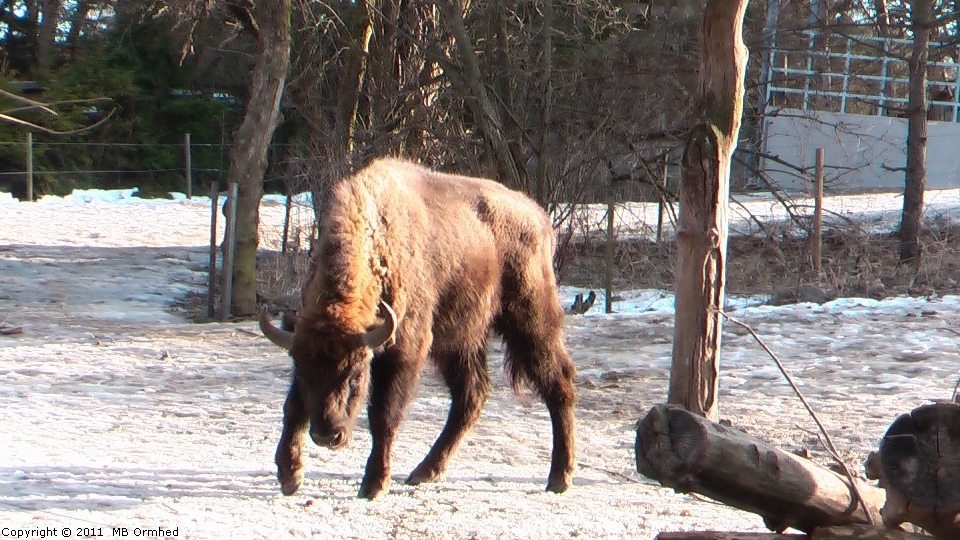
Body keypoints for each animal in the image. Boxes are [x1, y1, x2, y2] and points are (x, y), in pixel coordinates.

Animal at [258, 158, 576, 500]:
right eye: (304, 373)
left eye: (356, 374)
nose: (327, 435)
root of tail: (538, 217)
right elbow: (293, 407)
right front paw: (289, 476)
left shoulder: (406, 349)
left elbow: (383, 415)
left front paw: (373, 485)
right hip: (461, 340)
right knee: (471, 395)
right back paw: (425, 472)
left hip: (530, 322)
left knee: (558, 383)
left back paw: (559, 478)